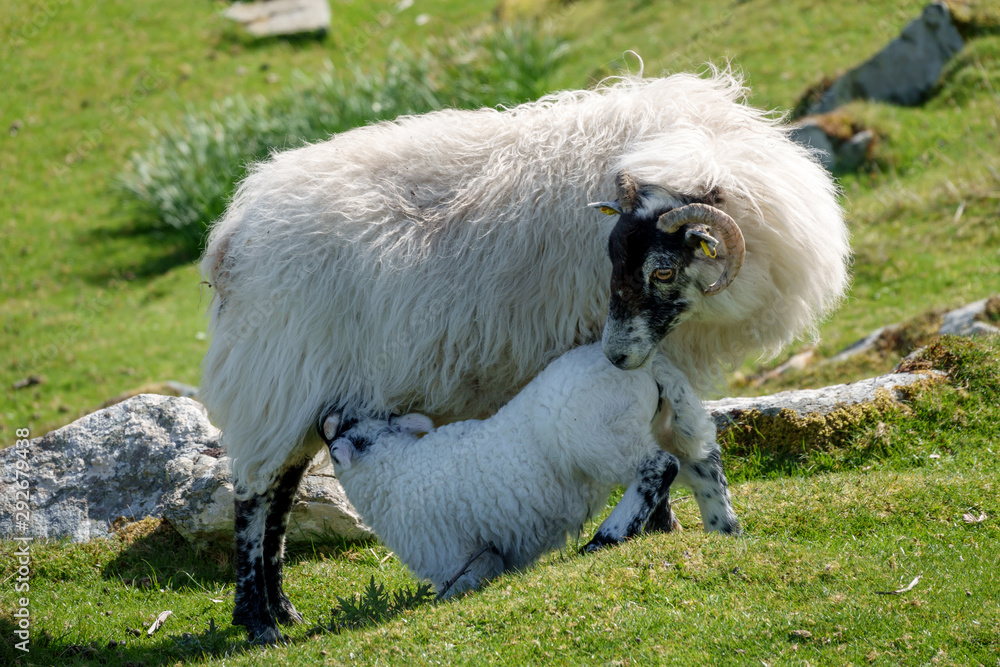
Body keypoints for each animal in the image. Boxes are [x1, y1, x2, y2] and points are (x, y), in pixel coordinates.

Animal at [318, 343, 729, 597]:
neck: (393, 468)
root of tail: (648, 364)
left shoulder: (465, 560)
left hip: (604, 439)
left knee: (659, 467)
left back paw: (604, 539)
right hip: (663, 424)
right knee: (704, 464)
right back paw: (724, 530)